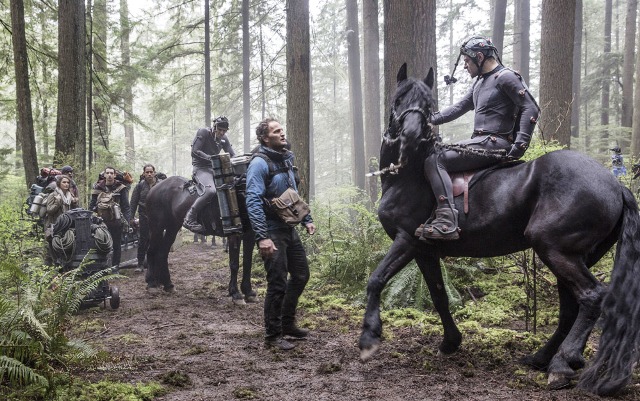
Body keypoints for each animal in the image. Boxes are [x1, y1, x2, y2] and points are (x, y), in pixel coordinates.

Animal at [144, 175, 256, 304]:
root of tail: (154, 188)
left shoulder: (250, 235)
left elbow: (248, 262)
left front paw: (248, 292)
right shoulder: (235, 234)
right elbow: (234, 264)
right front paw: (236, 294)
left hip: (172, 227)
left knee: (162, 253)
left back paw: (168, 285)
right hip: (157, 227)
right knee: (151, 251)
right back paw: (151, 284)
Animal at [358, 63, 640, 396]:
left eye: (427, 104)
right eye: (399, 98)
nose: (413, 135)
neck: (406, 175)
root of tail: (615, 185)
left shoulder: (406, 240)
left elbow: (376, 280)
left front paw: (369, 339)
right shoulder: (425, 250)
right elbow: (439, 295)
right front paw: (450, 342)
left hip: (556, 249)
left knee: (592, 296)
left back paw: (561, 363)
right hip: (577, 256)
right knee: (571, 306)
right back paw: (545, 358)